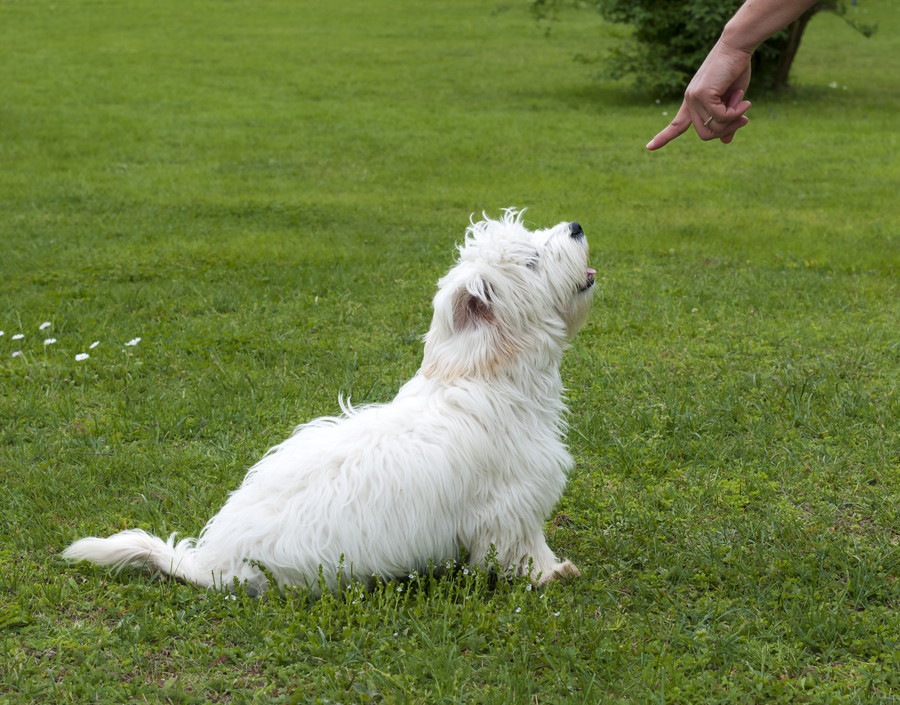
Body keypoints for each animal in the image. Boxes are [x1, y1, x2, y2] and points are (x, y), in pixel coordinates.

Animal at [65, 210, 596, 592]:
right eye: (531, 259)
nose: (576, 226)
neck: (484, 375)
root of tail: (212, 563)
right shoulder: (512, 504)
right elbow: (524, 548)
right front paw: (551, 573)